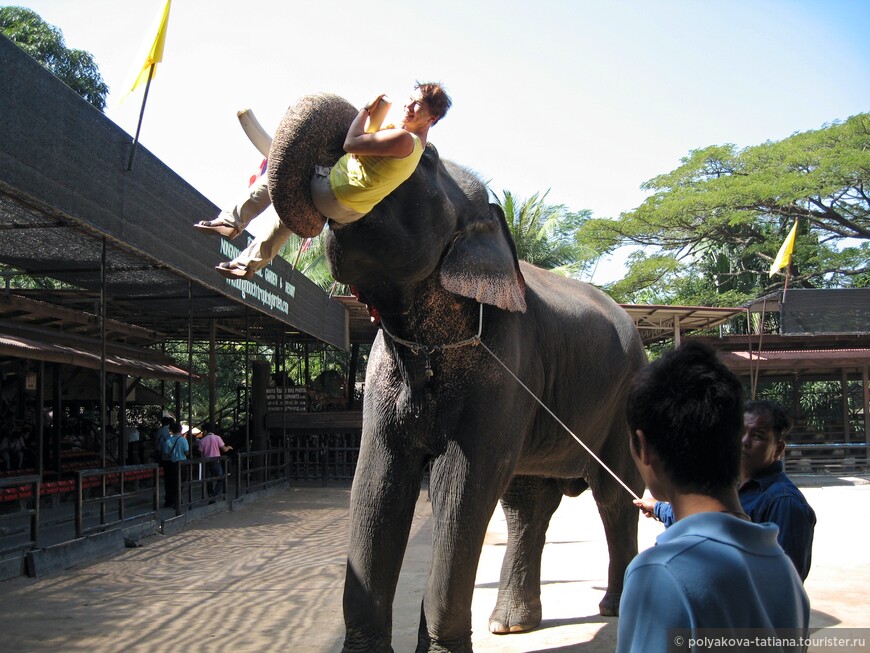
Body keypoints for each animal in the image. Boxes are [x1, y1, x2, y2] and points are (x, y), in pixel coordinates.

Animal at [270, 94, 648, 648]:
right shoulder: (382, 382)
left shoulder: (504, 363)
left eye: (424, 158)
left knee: (615, 496)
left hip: (624, 399)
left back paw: (612, 606)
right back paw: (510, 624)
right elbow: (375, 480)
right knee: (528, 502)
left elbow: (462, 485)